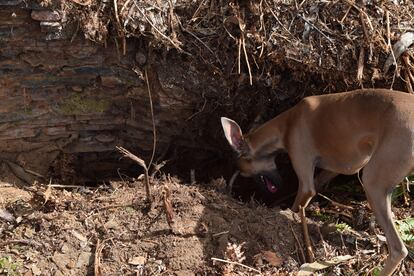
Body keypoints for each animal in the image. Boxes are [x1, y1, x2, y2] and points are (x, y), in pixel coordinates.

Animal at [222, 89, 410, 276]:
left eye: (241, 169)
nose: (232, 181)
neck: (287, 123)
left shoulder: (304, 175)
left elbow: (298, 203)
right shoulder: (338, 168)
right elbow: (319, 181)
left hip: (373, 183)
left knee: (398, 249)